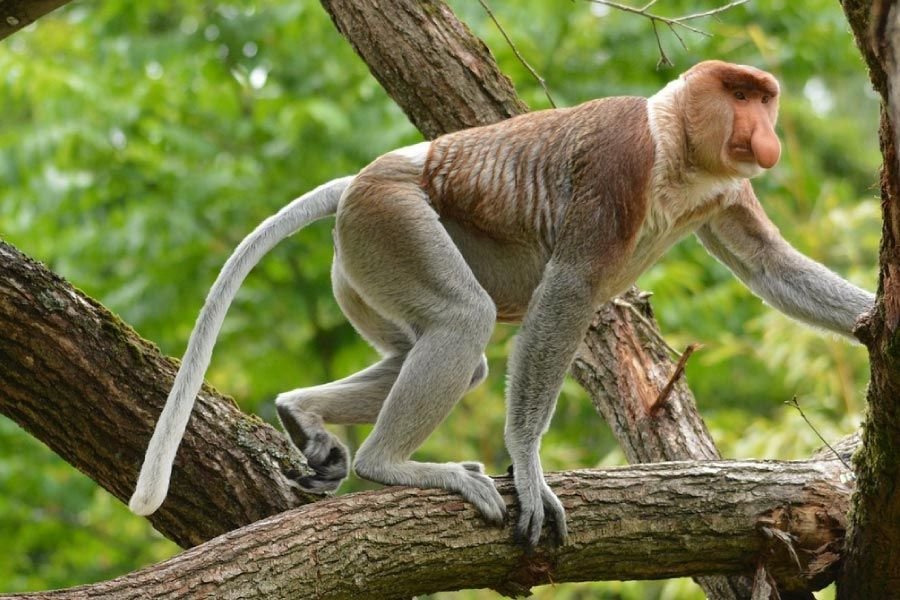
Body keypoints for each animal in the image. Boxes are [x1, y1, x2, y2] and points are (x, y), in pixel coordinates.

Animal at [129, 60, 874, 548]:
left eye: (764, 97)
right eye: (739, 94)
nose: (764, 130)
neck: (674, 142)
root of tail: (364, 178)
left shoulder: (723, 191)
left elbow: (768, 264)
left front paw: (872, 322)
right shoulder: (619, 161)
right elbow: (567, 293)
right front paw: (528, 465)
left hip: (361, 264)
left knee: (440, 353)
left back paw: (301, 413)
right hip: (390, 222)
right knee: (465, 323)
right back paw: (388, 465)